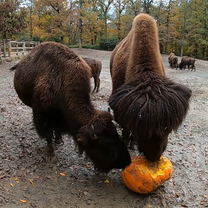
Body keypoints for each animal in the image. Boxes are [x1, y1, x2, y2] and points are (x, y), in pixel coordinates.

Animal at [11, 41, 130, 172]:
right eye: (105, 145)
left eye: (116, 134)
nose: (127, 161)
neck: (62, 81)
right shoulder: (44, 114)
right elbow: (48, 133)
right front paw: (50, 154)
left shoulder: (58, 116)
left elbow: (57, 128)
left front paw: (59, 140)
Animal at [109, 13, 192, 162]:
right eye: (141, 128)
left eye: (167, 128)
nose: (154, 156)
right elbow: (126, 125)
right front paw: (127, 140)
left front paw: (133, 143)